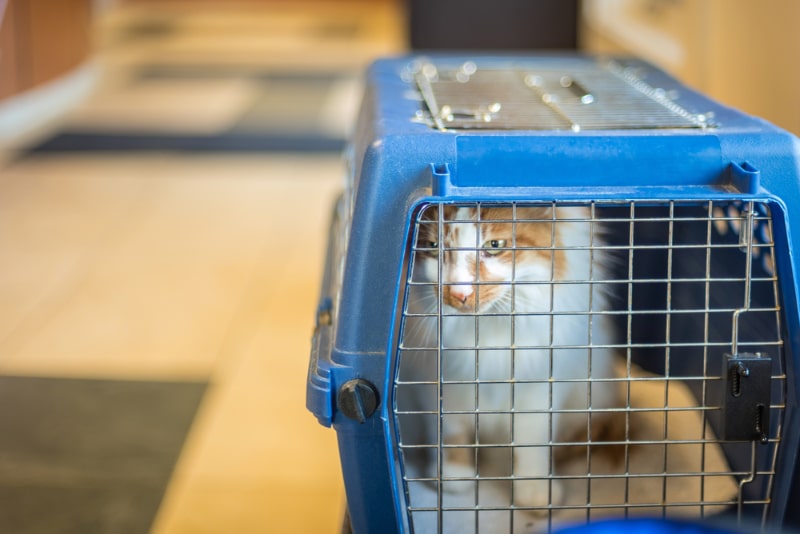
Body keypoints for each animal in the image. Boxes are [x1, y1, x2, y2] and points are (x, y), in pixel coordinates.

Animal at [400, 204, 624, 520]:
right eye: (433, 247)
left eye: (495, 245)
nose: (458, 294)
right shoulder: (438, 380)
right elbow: (450, 432)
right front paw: (453, 476)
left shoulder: (538, 384)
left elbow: (531, 442)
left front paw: (536, 492)